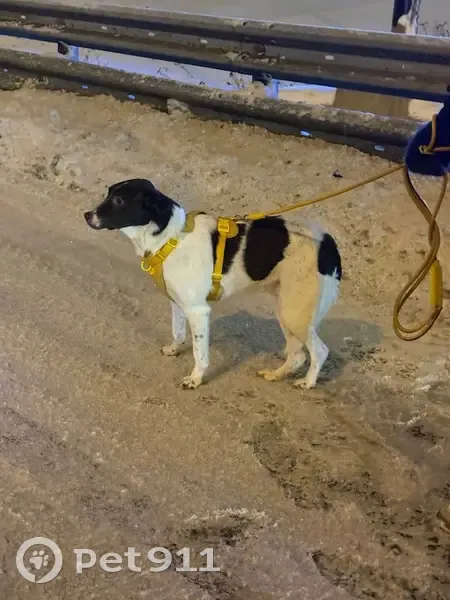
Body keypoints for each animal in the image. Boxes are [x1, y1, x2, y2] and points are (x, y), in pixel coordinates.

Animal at [84, 178, 341, 389]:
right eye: (108, 193)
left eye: (119, 200)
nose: (86, 215)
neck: (172, 238)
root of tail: (328, 243)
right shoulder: (178, 303)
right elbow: (178, 332)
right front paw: (174, 350)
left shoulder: (198, 311)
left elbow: (200, 353)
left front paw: (195, 379)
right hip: (286, 310)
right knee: (298, 355)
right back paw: (276, 375)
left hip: (295, 313)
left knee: (319, 351)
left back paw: (307, 383)